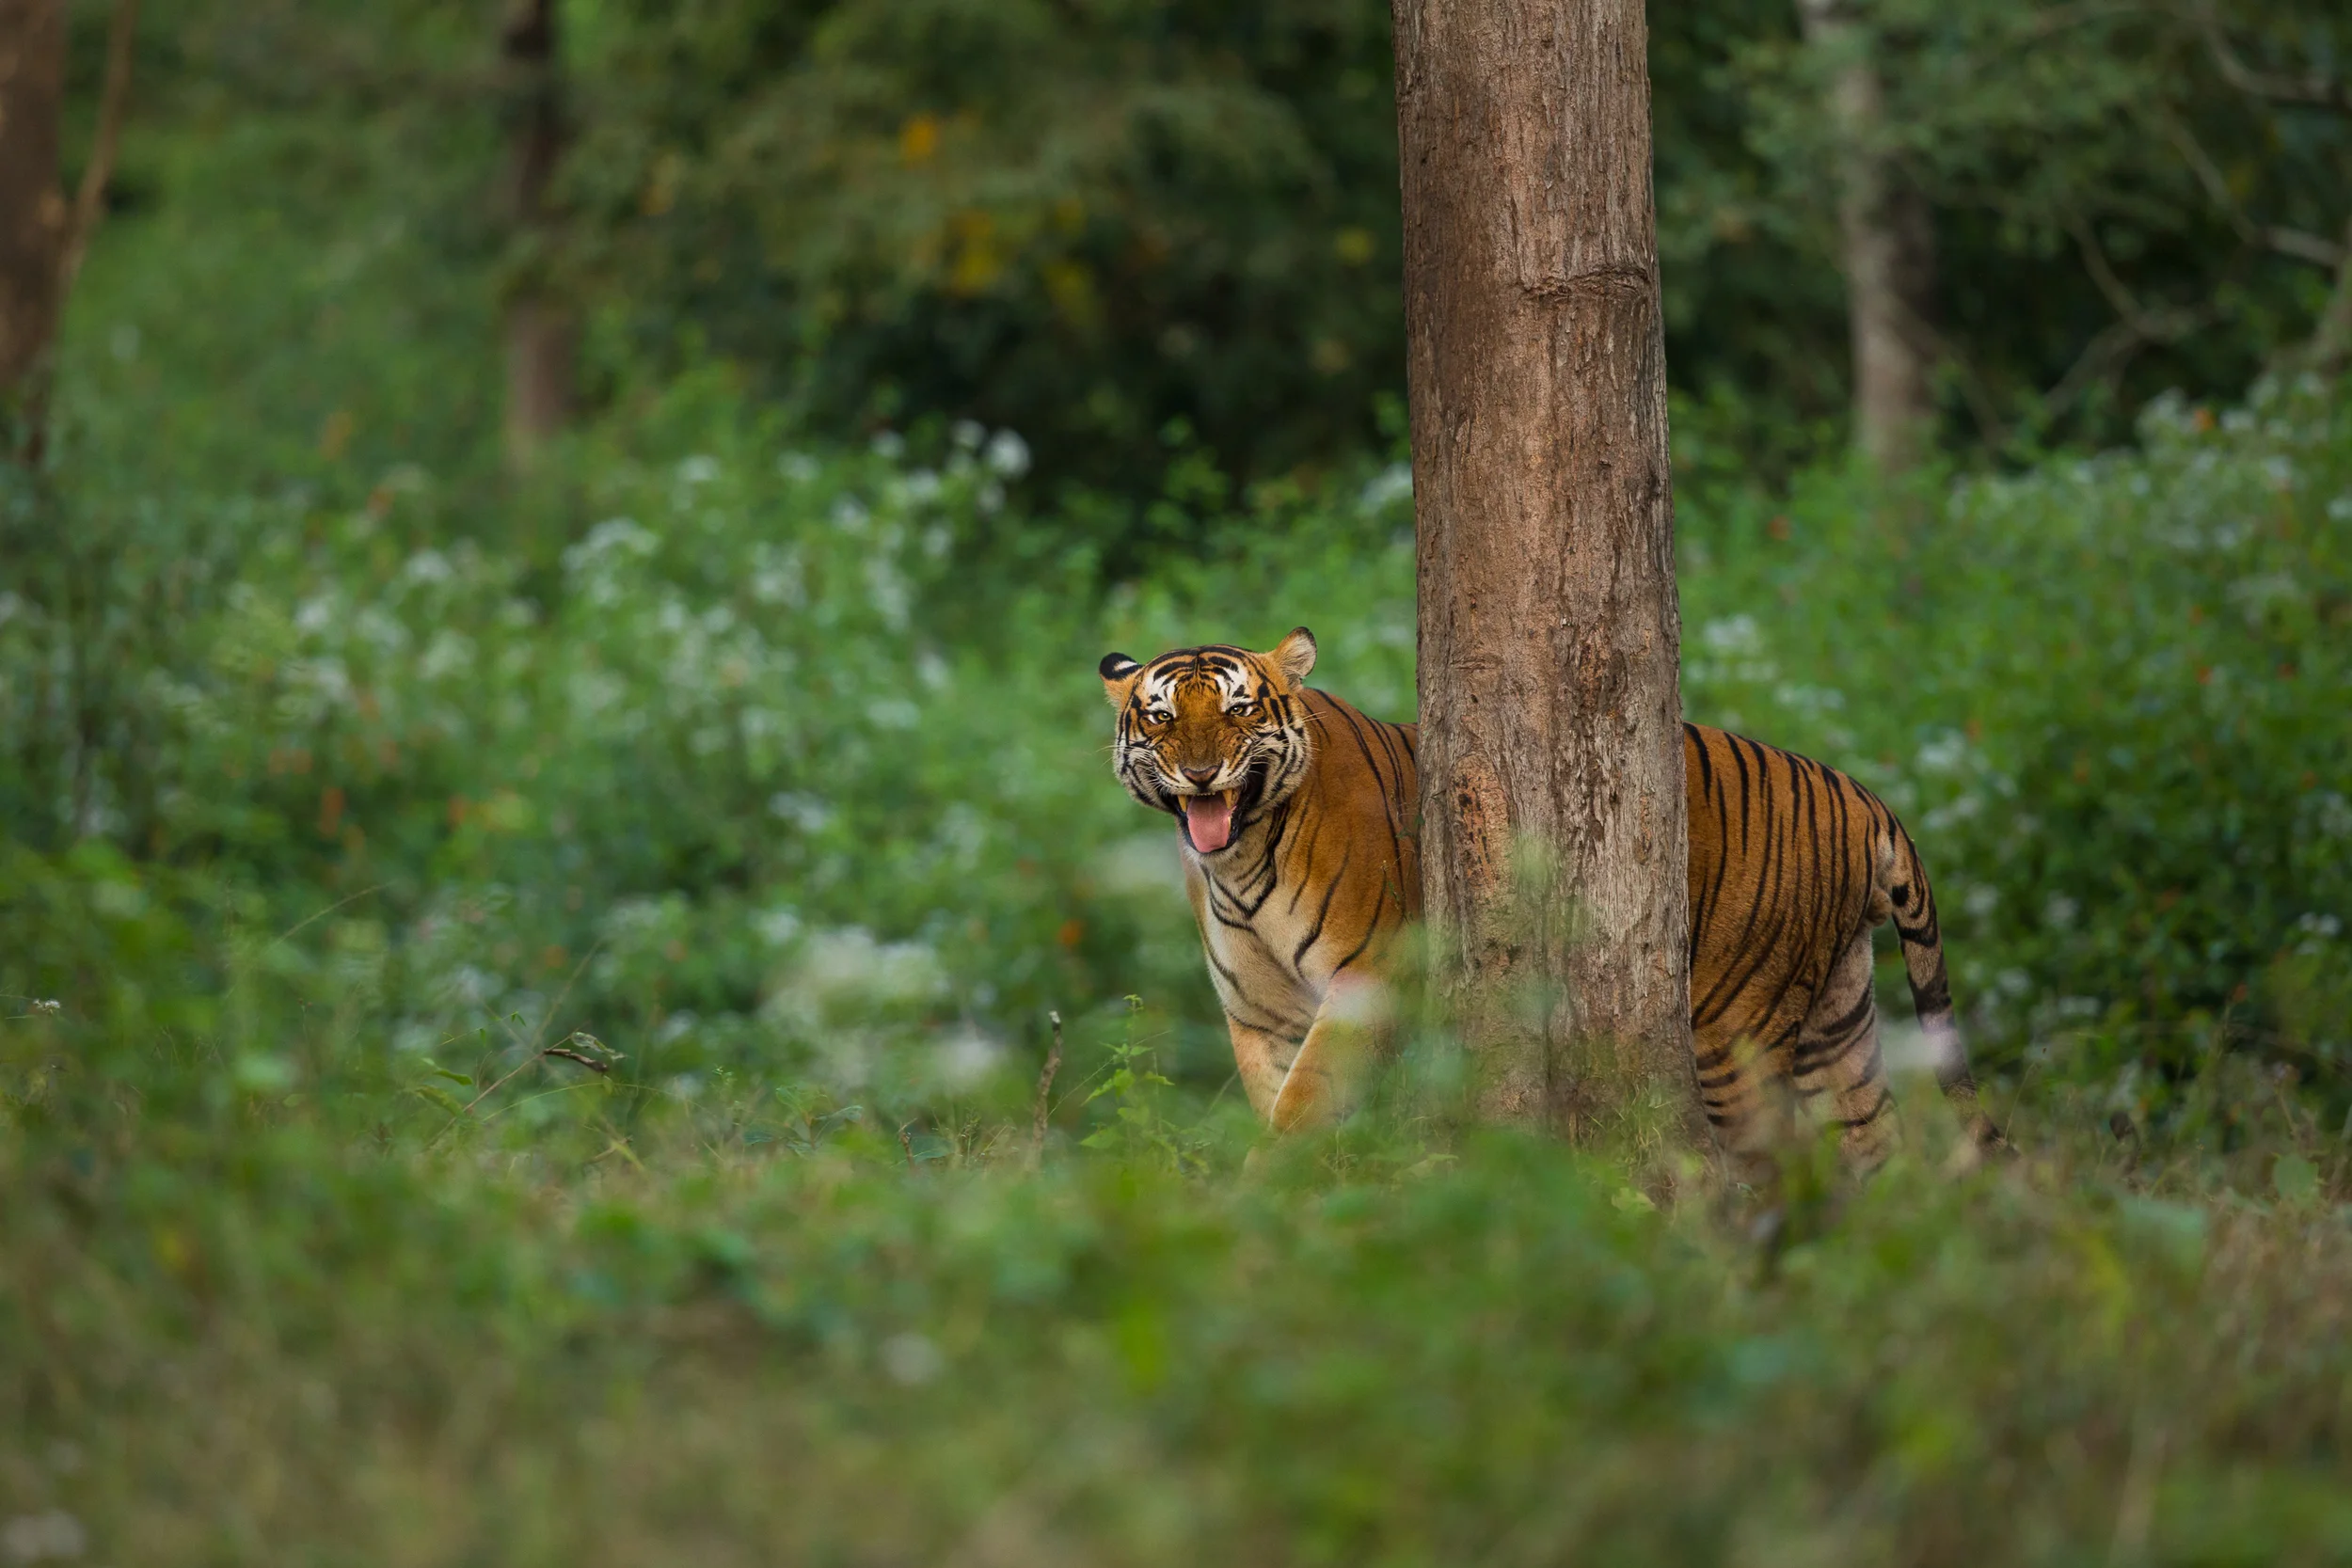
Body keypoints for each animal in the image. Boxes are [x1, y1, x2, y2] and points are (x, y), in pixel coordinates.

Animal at [1099, 626, 2003, 1171]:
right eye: (1162, 716)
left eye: (1240, 708)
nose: (1202, 772)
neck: (1241, 859)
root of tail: (1863, 796)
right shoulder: (1260, 1015)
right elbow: (1282, 1100)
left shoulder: (1367, 982)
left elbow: (1303, 1105)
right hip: (1837, 1024)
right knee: (1876, 1153)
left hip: (1733, 1035)